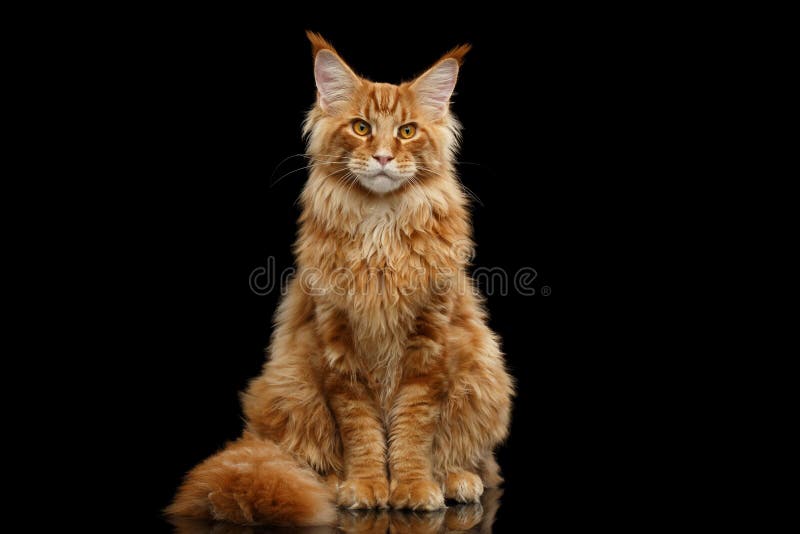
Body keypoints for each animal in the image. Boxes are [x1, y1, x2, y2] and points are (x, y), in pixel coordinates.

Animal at [169, 32, 516, 528]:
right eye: (361, 127)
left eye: (407, 131)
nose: (384, 156)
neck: (380, 229)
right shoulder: (338, 345)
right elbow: (362, 433)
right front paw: (367, 487)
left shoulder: (429, 344)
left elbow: (414, 431)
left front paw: (413, 487)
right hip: (290, 385)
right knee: (307, 454)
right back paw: (332, 484)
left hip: (483, 371)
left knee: (481, 464)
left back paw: (455, 479)